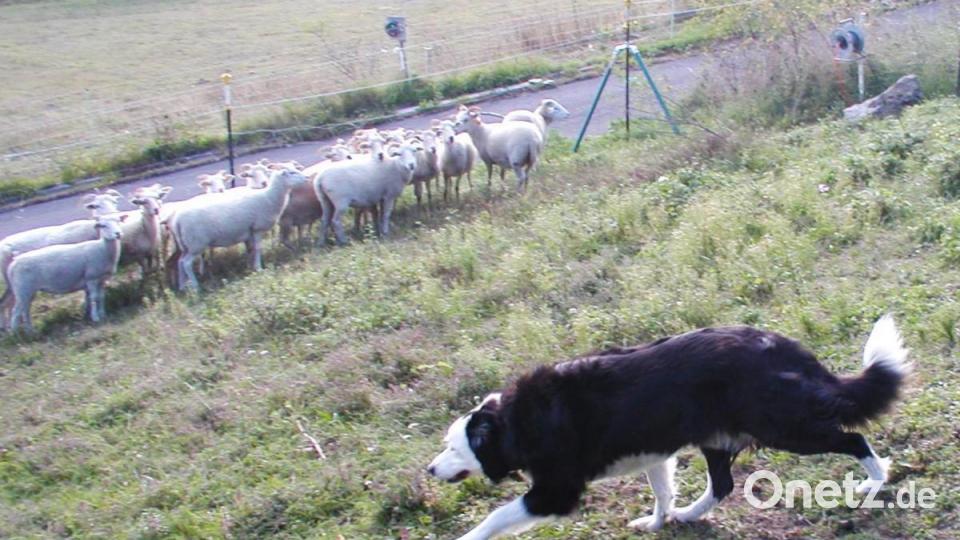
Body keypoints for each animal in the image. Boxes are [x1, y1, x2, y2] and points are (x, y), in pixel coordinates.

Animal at [0, 190, 124, 328]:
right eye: (96, 206)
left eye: (114, 201)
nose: (114, 214)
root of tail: (3, 243)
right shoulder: (88, 272)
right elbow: (90, 294)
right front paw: (90, 314)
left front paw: (88, 313)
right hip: (16, 284)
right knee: (11, 305)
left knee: (10, 304)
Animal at [167, 168, 308, 291]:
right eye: (292, 172)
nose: (306, 178)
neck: (269, 197)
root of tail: (176, 220)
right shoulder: (257, 228)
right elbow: (257, 248)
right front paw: (258, 267)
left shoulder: (249, 231)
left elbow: (250, 250)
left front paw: (250, 266)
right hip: (196, 242)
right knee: (186, 263)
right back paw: (196, 287)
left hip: (186, 245)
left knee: (180, 262)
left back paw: (182, 286)